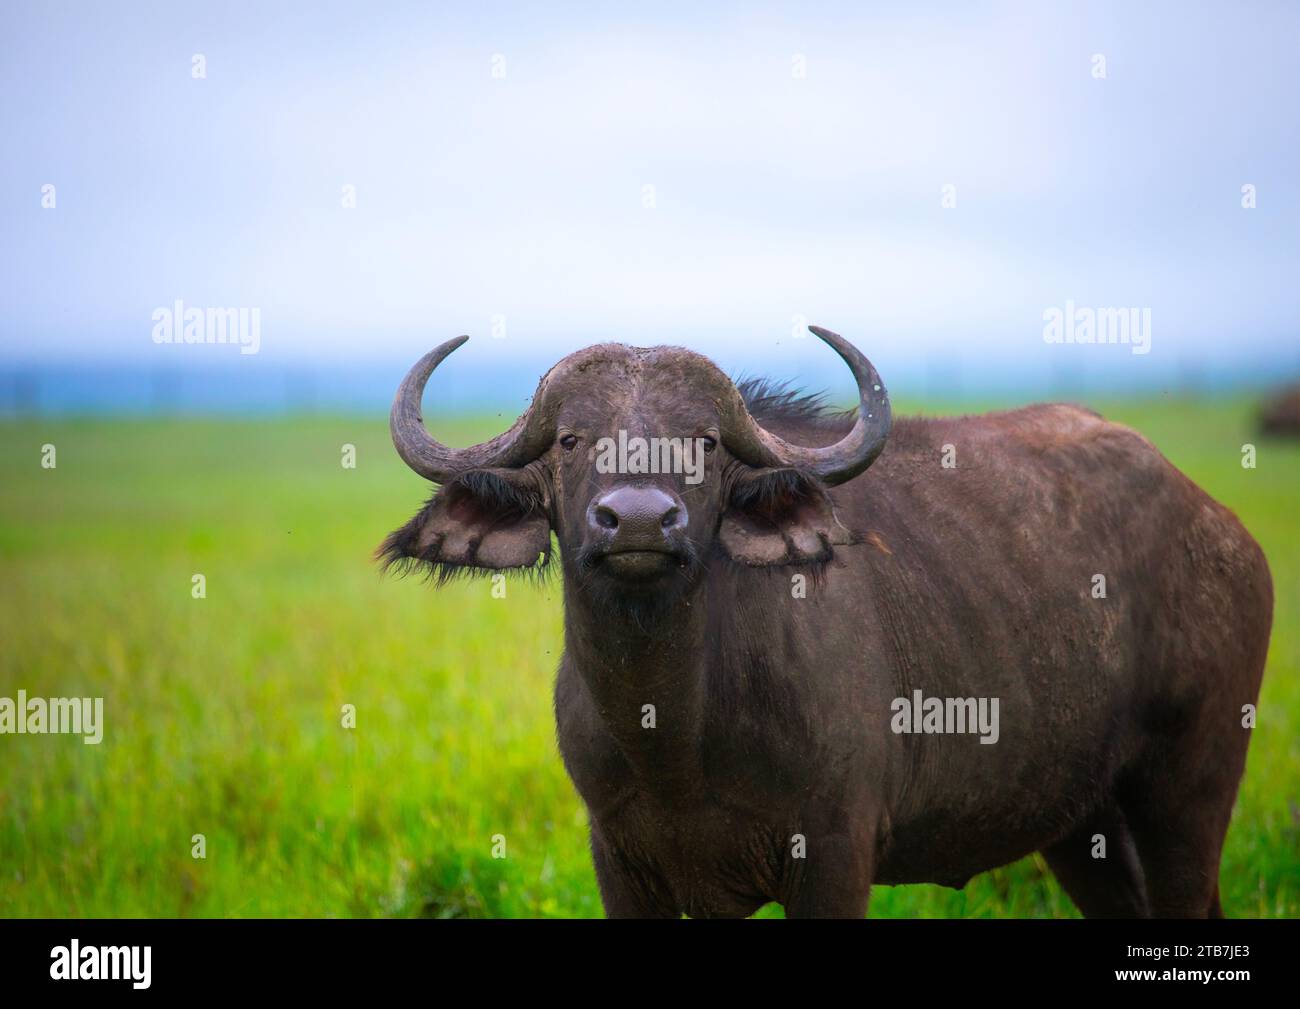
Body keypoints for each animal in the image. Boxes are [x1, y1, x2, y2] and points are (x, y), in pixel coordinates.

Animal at [379, 327, 1274, 920]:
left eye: (704, 443)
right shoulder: (622, 862)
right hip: (1082, 820)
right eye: (570, 438)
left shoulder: (836, 856)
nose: (637, 518)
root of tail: (1223, 530)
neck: (676, 733)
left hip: (1190, 787)